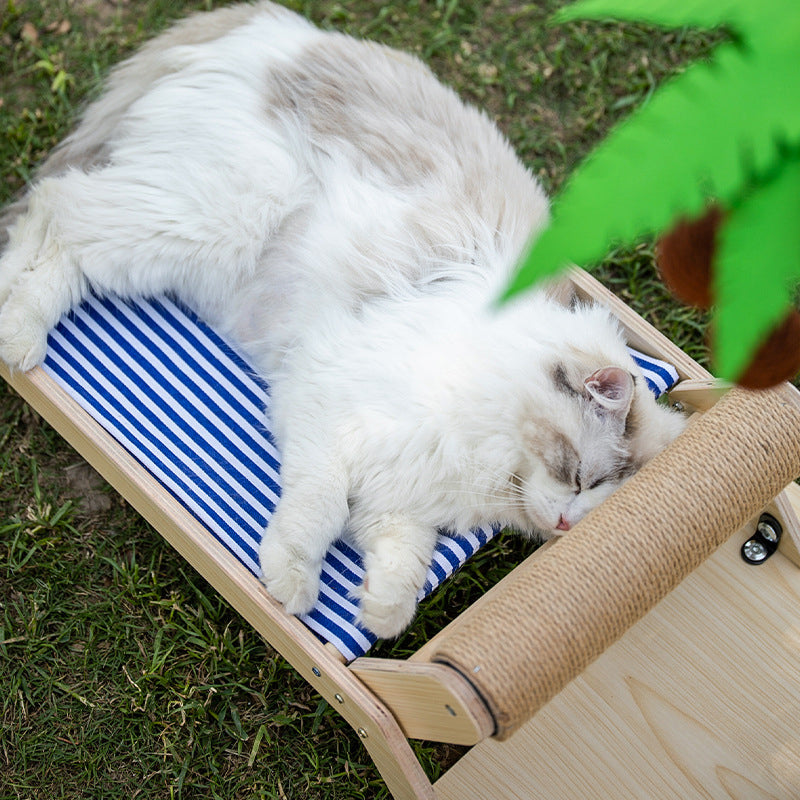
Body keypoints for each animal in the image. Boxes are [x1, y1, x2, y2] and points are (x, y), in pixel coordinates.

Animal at [1, 0, 688, 636]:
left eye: (597, 504)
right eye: (579, 477)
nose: (569, 523)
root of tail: (271, 28)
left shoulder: (399, 497)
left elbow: (403, 563)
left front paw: (381, 616)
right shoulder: (324, 418)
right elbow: (319, 515)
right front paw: (293, 587)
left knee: (59, 226)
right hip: (215, 218)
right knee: (57, 211)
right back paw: (19, 336)